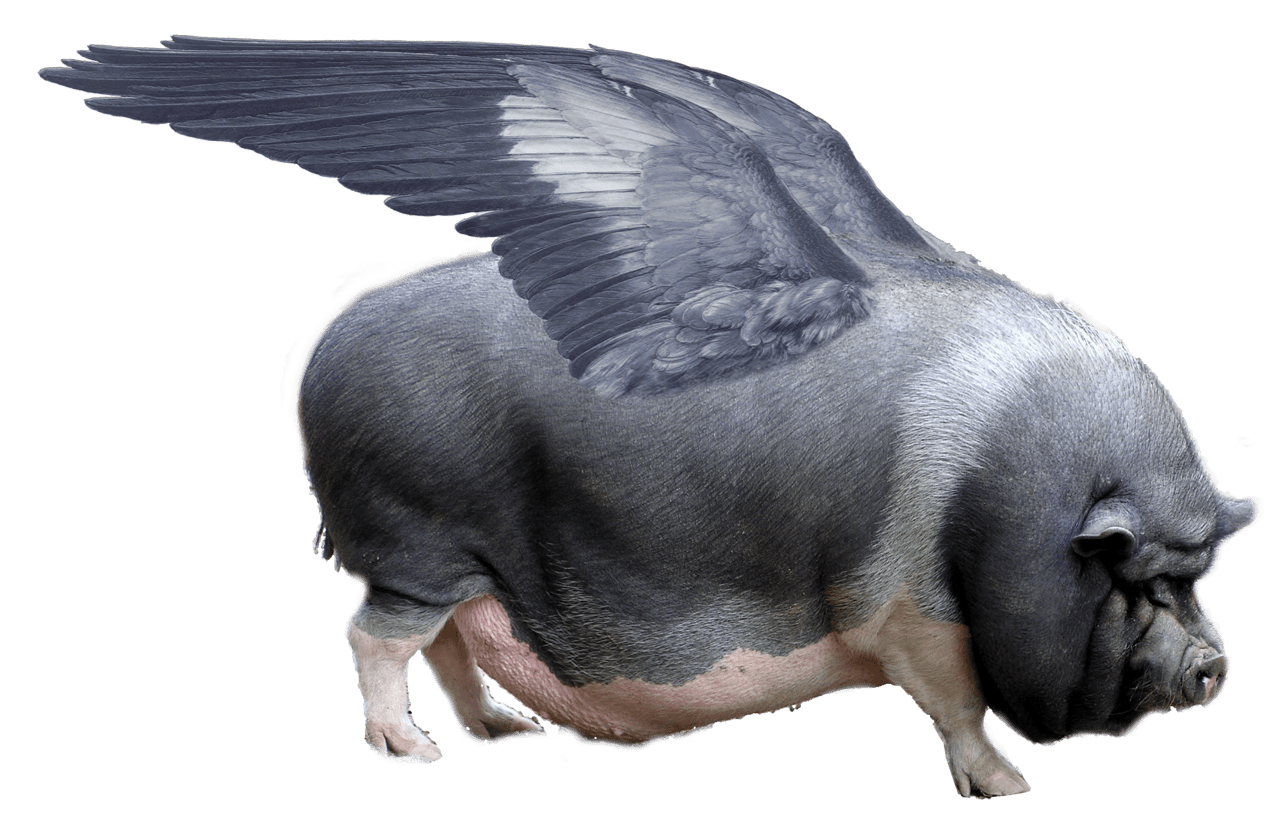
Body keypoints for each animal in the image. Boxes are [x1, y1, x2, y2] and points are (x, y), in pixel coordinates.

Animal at [39, 37, 1263, 797]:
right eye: (1129, 577)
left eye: (1194, 573)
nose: (1212, 666)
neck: (991, 496)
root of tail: (322, 342)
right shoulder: (904, 603)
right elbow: (953, 701)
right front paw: (1009, 786)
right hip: (409, 530)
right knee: (374, 635)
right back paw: (413, 756)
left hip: (462, 556)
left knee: (448, 638)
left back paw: (503, 736)